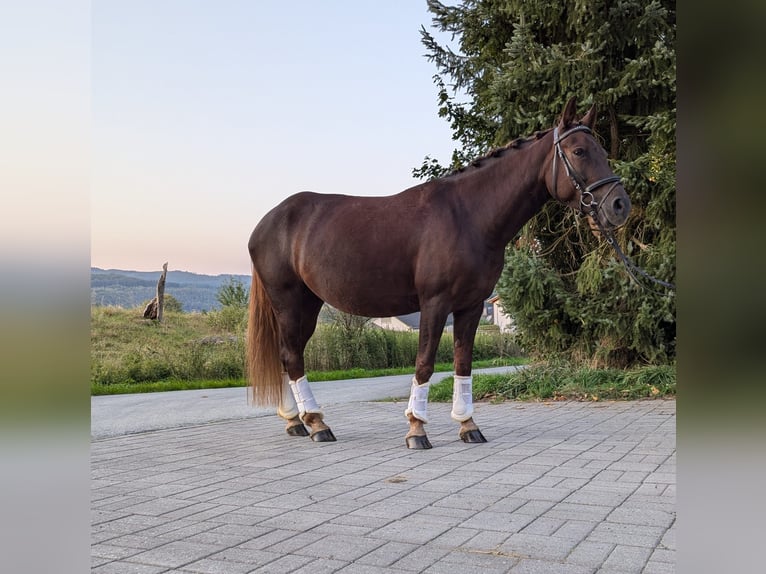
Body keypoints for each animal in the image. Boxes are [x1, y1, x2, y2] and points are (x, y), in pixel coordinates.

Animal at [249, 98, 632, 450]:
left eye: (601, 150)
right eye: (579, 151)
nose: (619, 205)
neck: (468, 216)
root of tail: (267, 221)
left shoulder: (471, 306)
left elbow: (463, 364)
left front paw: (468, 425)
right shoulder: (434, 303)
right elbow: (425, 364)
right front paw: (417, 429)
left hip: (309, 304)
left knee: (289, 354)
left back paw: (296, 421)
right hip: (289, 301)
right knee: (291, 356)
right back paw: (317, 424)